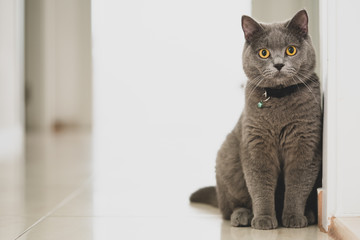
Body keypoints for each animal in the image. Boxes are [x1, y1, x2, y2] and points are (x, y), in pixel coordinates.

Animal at [190, 10, 322, 230]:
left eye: (291, 50)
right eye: (264, 53)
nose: (278, 64)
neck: (279, 100)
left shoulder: (305, 146)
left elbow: (297, 186)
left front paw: (294, 217)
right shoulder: (256, 146)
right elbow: (260, 186)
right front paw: (264, 219)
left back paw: (310, 214)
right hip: (228, 157)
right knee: (230, 208)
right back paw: (242, 215)